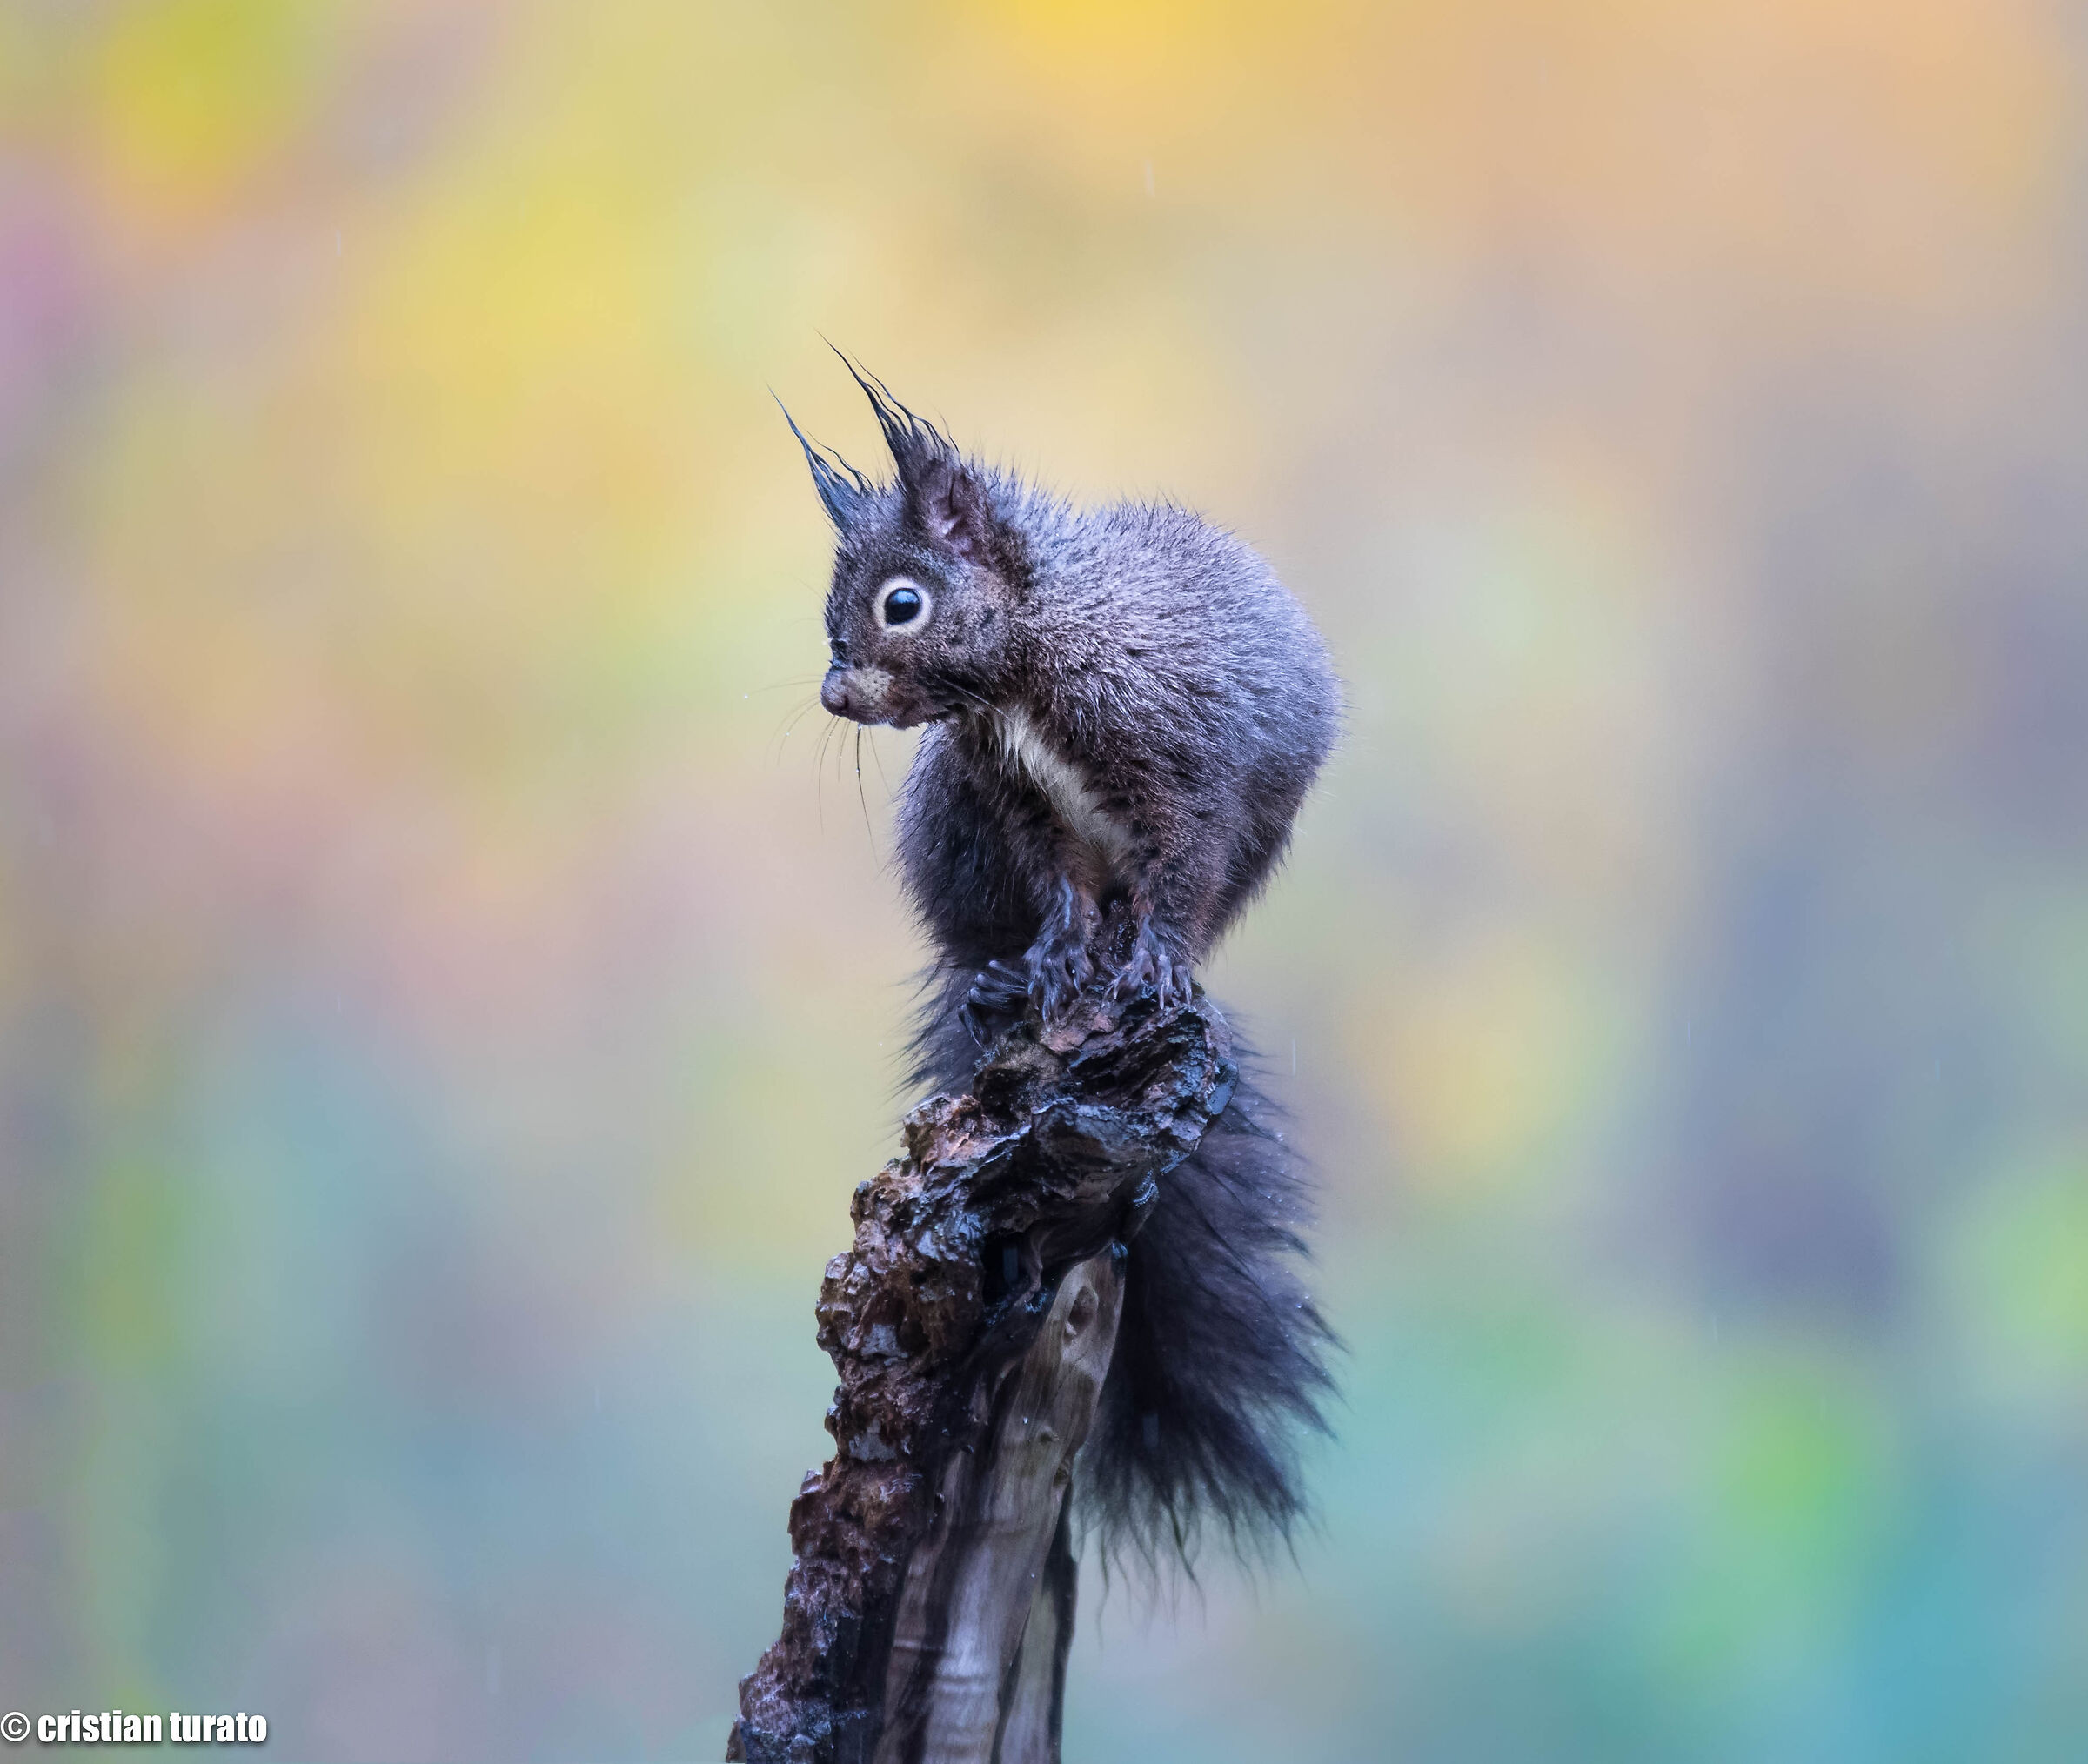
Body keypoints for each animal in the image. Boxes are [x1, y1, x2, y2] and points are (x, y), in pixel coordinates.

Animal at [784, 359, 1340, 1566]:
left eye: (903, 603)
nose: (836, 695)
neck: (1020, 670)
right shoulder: (1012, 802)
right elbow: (1062, 892)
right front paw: (1053, 958)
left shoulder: (1183, 769)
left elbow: (1179, 873)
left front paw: (1155, 965)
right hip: (950, 823)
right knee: (983, 941)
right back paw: (1003, 982)